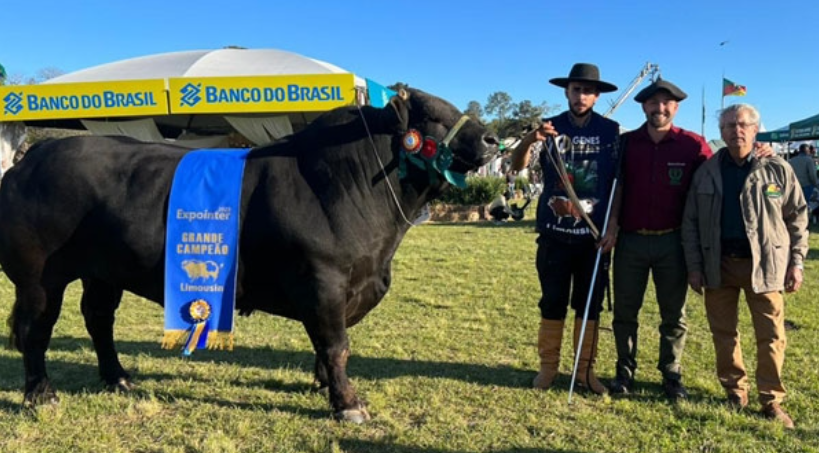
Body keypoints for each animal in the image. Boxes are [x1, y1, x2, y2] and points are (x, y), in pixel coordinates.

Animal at [0, 88, 500, 420]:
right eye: (433, 114)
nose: (493, 140)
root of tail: (30, 159)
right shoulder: (324, 280)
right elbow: (336, 345)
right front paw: (348, 404)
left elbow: (325, 345)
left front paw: (322, 385)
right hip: (39, 276)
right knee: (34, 329)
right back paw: (41, 395)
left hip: (104, 271)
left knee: (98, 318)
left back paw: (119, 378)